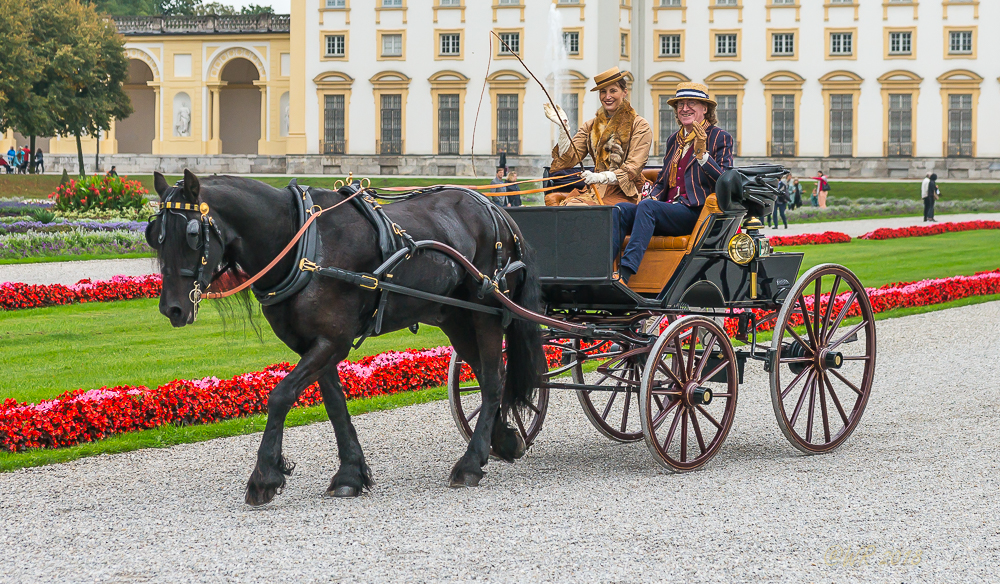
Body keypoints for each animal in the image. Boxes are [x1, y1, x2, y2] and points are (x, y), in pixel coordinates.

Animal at [145, 170, 544, 506]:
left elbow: (280, 396)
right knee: (488, 375)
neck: (302, 243)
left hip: (485, 311)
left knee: (492, 380)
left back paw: (471, 463)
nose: (172, 308)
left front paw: (264, 476)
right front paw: (350, 473)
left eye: (192, 234)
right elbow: (336, 405)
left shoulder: (332, 341)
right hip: (455, 317)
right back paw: (503, 440)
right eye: (155, 235)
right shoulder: (314, 344)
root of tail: (495, 208)